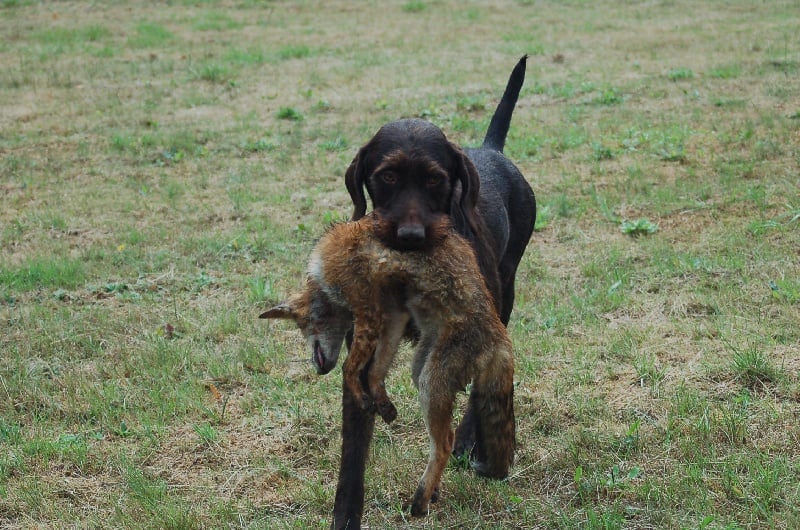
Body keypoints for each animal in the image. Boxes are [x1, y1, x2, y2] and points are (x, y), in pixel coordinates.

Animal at [261, 213, 515, 519]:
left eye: (302, 325)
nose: (318, 369)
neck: (324, 262)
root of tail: (501, 339)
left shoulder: (366, 307)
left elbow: (349, 368)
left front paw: (360, 395)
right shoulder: (393, 310)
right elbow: (375, 369)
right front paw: (380, 400)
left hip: (431, 381)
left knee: (445, 442)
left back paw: (420, 501)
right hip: (421, 365)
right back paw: (431, 492)